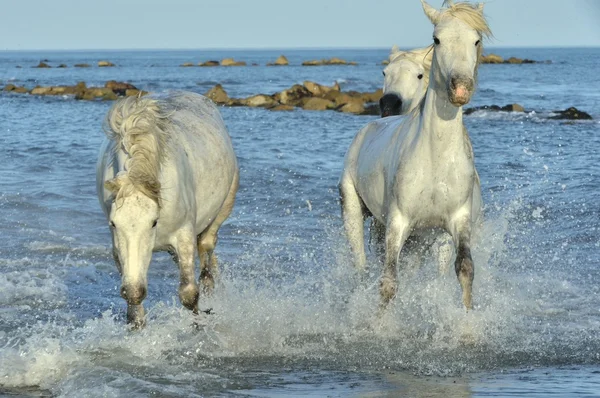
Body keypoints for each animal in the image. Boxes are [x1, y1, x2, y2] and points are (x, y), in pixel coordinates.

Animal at [96, 91, 239, 326]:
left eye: (153, 222)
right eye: (113, 223)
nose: (134, 290)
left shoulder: (184, 235)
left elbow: (189, 293)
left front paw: (201, 324)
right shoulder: (117, 245)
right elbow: (134, 310)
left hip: (224, 206)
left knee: (207, 249)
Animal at [340, 0, 490, 310]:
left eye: (476, 40)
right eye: (437, 39)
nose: (460, 87)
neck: (435, 157)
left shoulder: (457, 221)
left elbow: (465, 269)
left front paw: (467, 319)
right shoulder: (398, 221)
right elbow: (388, 282)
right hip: (354, 212)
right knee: (361, 265)